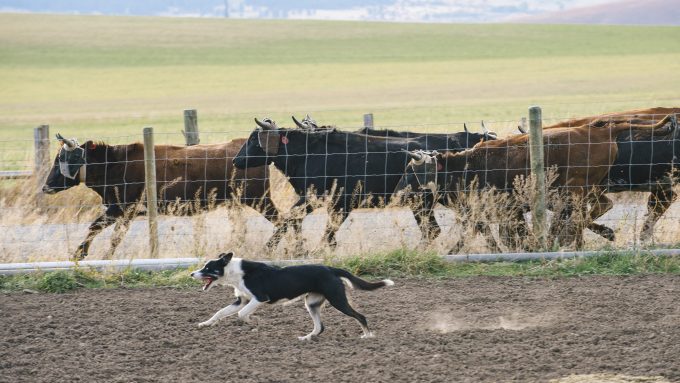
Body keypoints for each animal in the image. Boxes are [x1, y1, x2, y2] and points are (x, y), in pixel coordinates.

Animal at [234, 119, 494, 252]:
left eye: (253, 140)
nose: (237, 160)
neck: (312, 152)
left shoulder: (335, 202)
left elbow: (314, 227)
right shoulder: (316, 199)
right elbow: (294, 219)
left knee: (459, 225)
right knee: (450, 227)